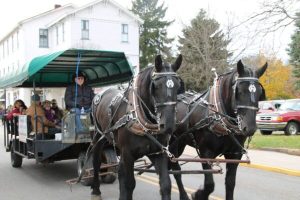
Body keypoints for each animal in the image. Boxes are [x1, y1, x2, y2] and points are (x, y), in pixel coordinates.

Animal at [90, 54, 182, 200]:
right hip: (98, 136)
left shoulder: (158, 152)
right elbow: (130, 184)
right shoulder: (128, 154)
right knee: (96, 161)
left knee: (120, 171)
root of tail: (100, 93)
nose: (167, 125)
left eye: (178, 85)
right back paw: (96, 190)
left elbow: (166, 184)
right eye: (155, 85)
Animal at [169, 60, 268, 200]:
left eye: (260, 93)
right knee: (175, 168)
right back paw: (183, 195)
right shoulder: (206, 153)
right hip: (171, 144)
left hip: (180, 143)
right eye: (239, 91)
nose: (250, 127)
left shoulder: (235, 154)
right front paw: (198, 194)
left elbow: (230, 184)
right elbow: (209, 185)